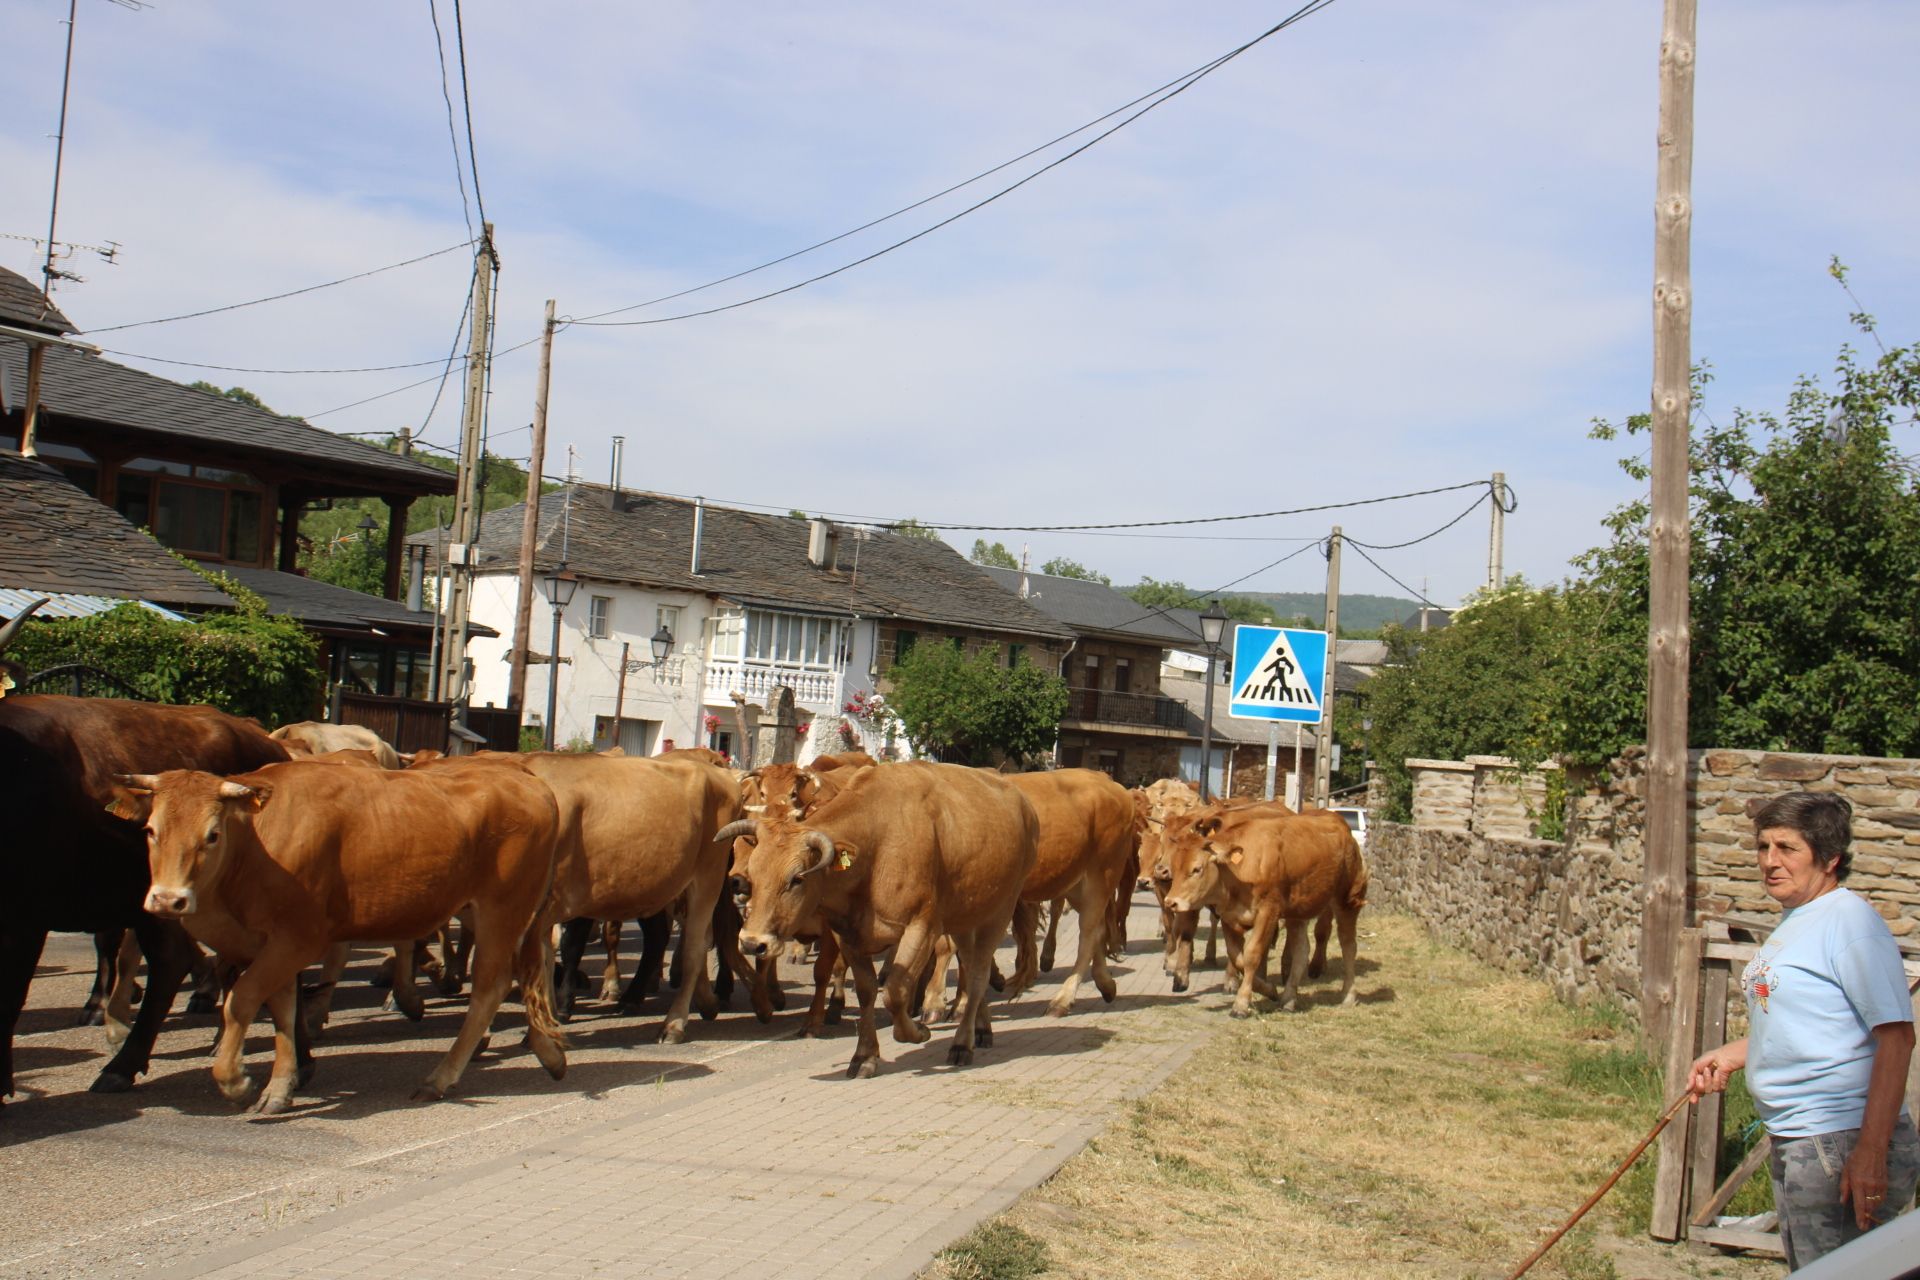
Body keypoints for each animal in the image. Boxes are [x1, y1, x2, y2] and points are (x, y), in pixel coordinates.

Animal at [123, 759, 560, 1113]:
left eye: (212, 834)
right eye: (150, 830)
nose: (168, 899)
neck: (255, 846)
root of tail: (525, 778)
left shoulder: (301, 938)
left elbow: (241, 1000)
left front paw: (237, 1082)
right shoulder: (275, 942)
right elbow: (283, 1008)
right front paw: (280, 1088)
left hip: (502, 910)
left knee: (489, 988)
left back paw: (440, 1077)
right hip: (483, 911)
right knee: (523, 971)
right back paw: (548, 1050)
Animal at [721, 767, 1036, 1074]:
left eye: (797, 878)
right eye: (755, 871)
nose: (753, 943)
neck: (876, 844)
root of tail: (1023, 803)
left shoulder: (922, 927)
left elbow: (895, 992)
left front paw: (917, 1031)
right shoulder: (847, 935)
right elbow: (867, 991)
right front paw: (864, 1056)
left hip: (997, 915)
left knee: (979, 974)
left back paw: (961, 1044)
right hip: (964, 919)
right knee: (971, 970)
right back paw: (982, 1029)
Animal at [1152, 805, 1367, 1013]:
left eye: (1197, 869)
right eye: (1176, 867)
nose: (1171, 901)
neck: (1242, 868)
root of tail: (1341, 827)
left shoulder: (1268, 913)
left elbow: (1252, 954)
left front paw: (1241, 1004)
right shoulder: (1229, 916)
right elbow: (1237, 957)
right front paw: (1269, 990)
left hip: (1347, 901)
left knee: (1348, 945)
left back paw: (1348, 996)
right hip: (1297, 913)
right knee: (1301, 950)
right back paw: (1289, 999)